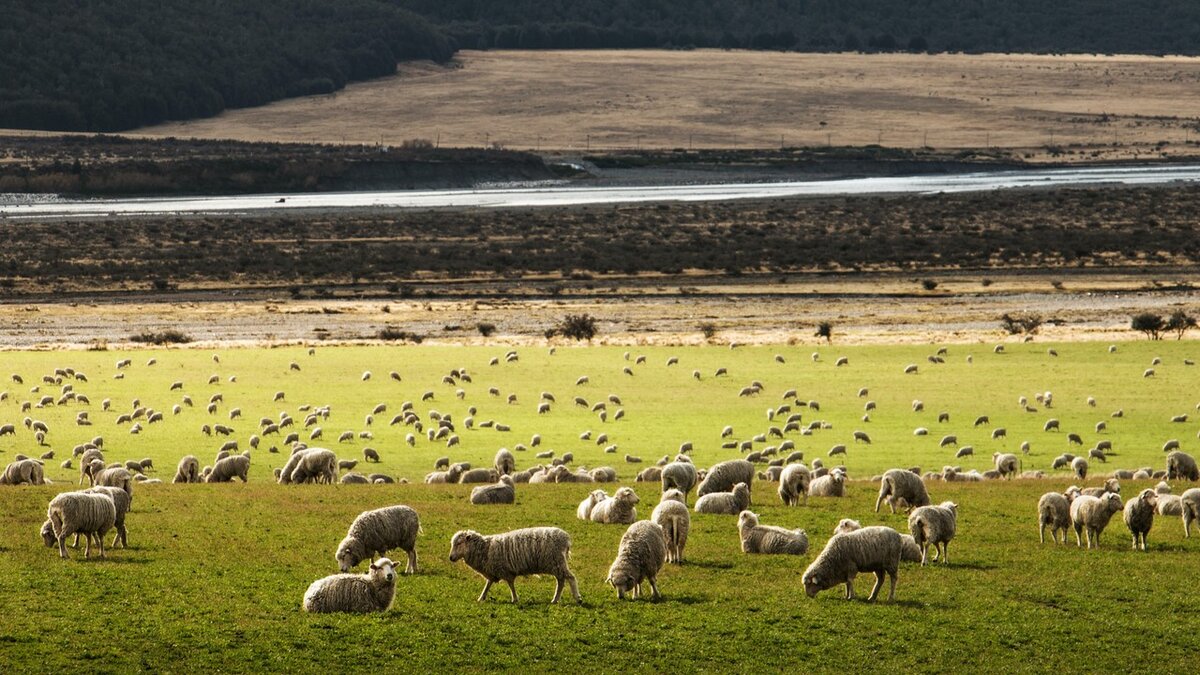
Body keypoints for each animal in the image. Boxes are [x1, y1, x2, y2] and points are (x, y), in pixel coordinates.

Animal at [451, 523, 580, 600]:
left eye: (459, 543)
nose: (450, 558)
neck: (485, 549)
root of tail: (566, 538)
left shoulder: (504, 570)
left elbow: (510, 584)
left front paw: (515, 598)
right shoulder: (493, 571)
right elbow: (488, 584)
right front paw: (481, 598)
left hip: (557, 562)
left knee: (571, 578)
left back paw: (577, 597)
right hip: (556, 564)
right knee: (561, 582)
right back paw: (555, 599)